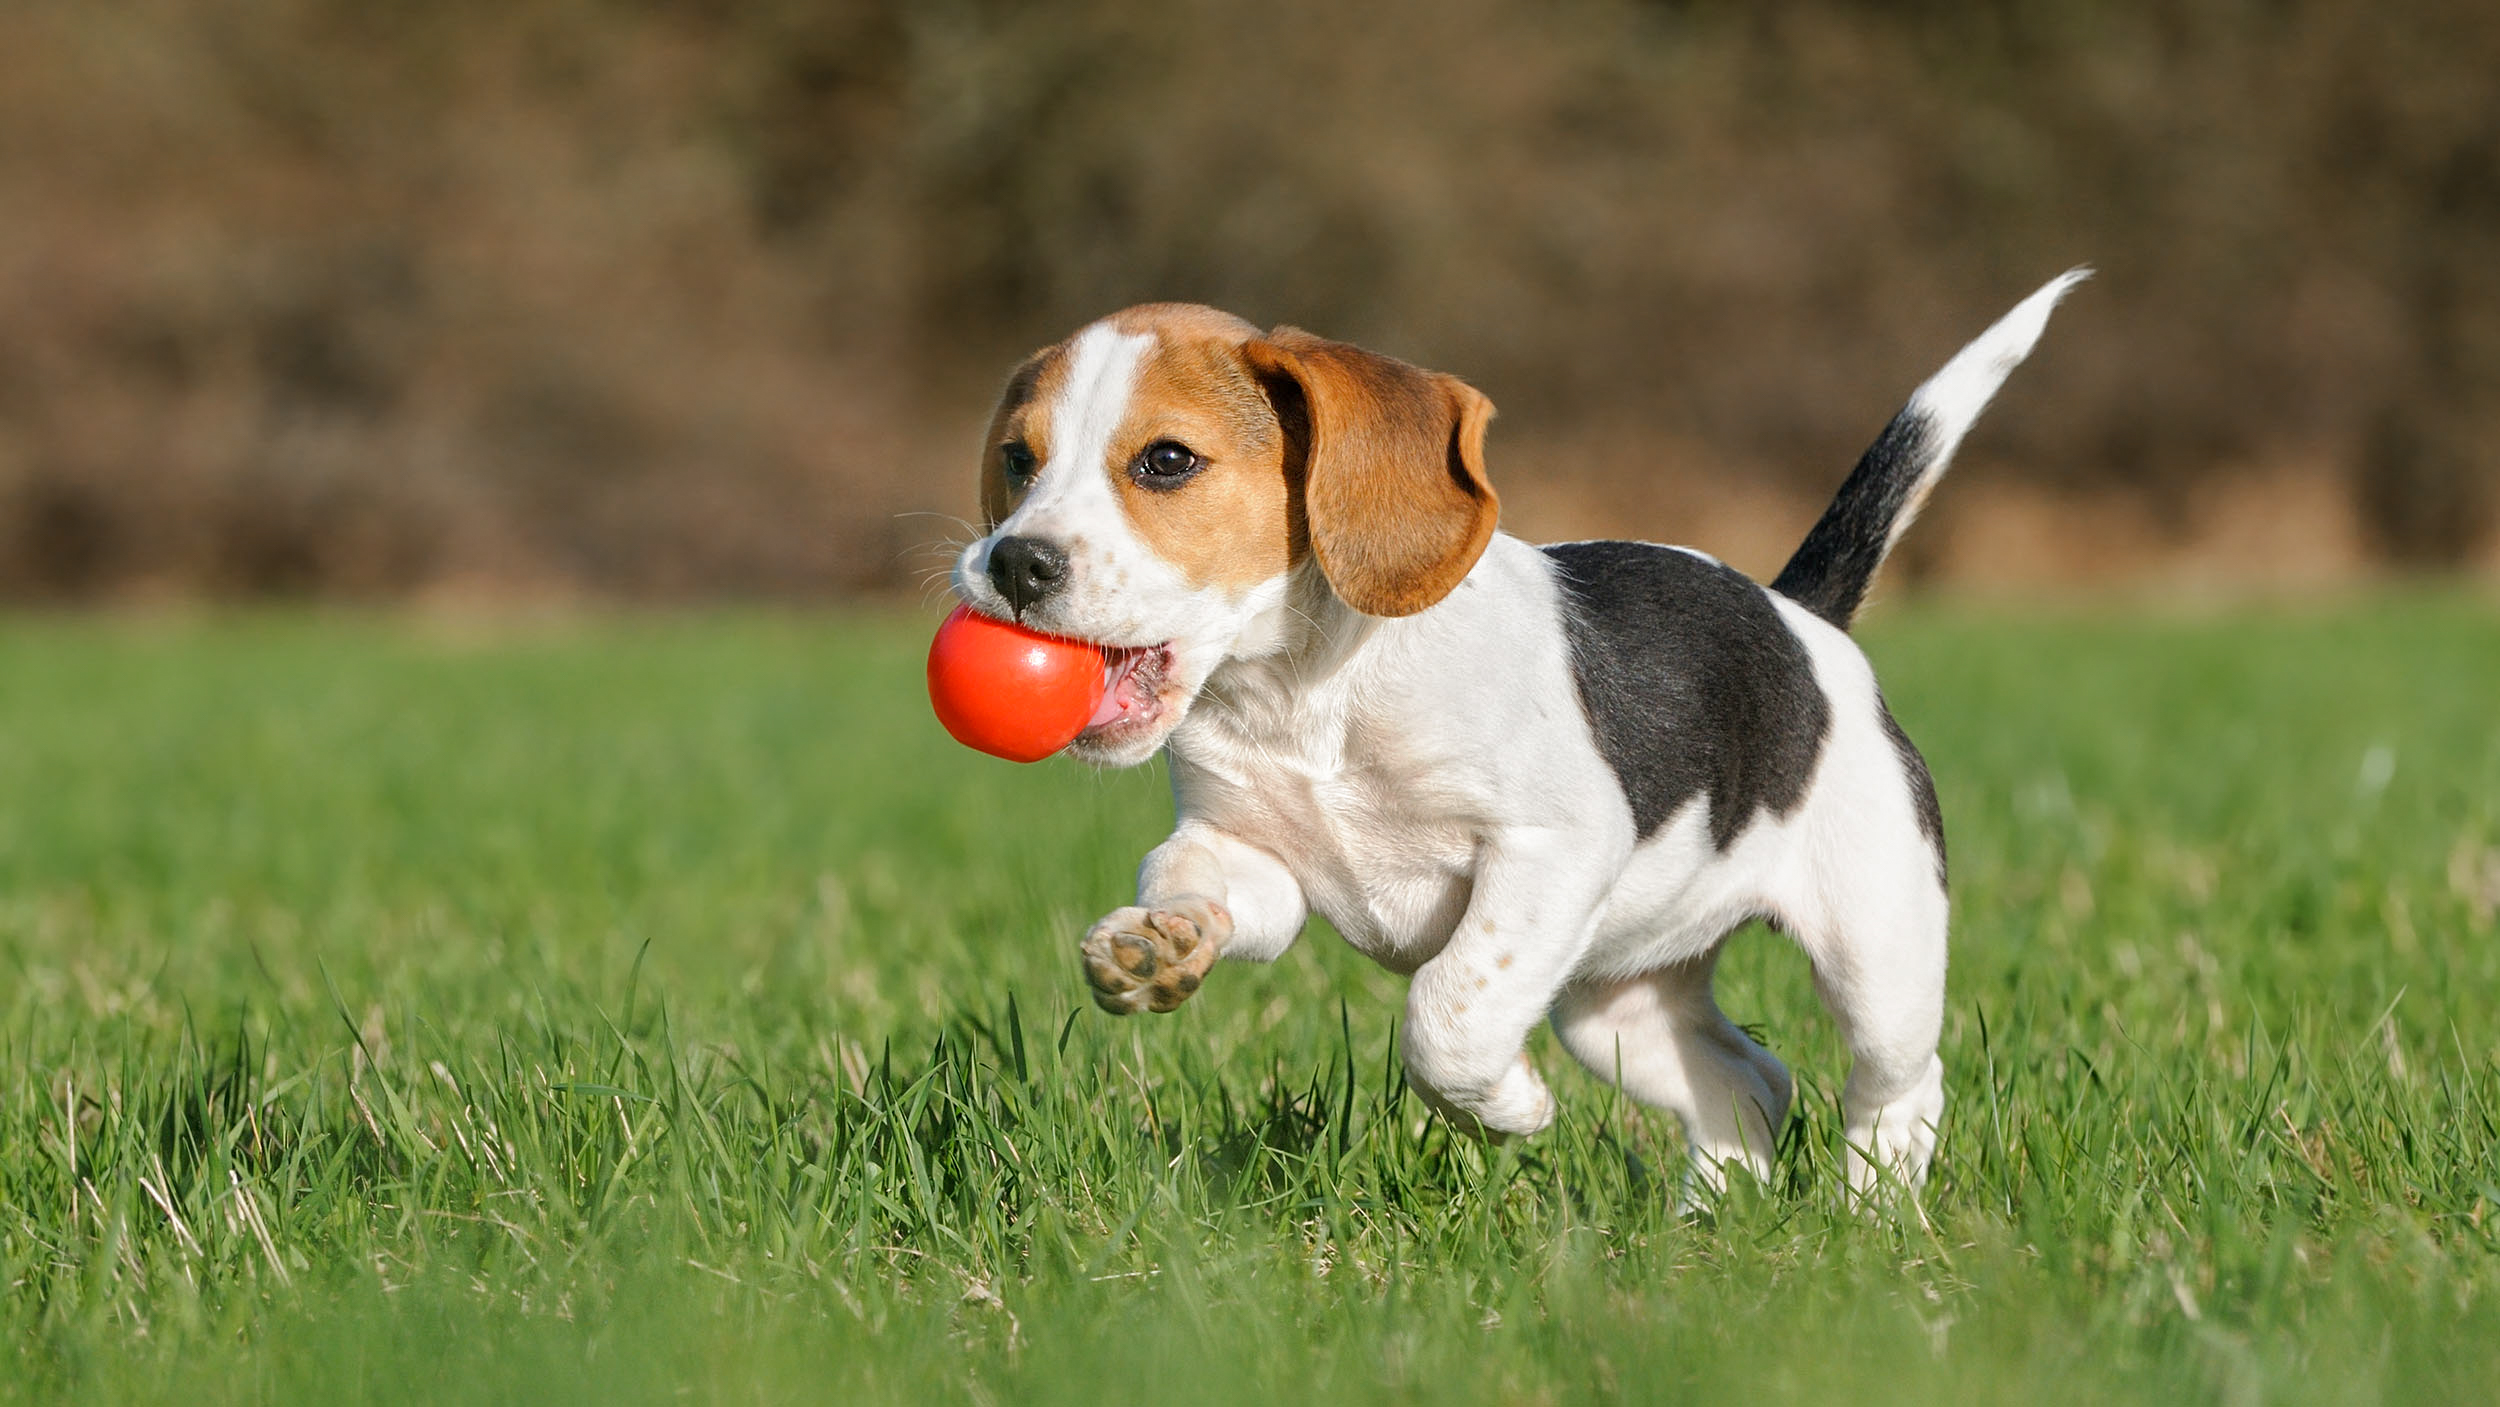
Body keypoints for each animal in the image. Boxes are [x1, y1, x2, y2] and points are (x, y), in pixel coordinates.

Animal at [945, 278, 2080, 1199]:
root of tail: (1800, 615)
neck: (1306, 695)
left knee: (1898, 1088)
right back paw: (1710, 1223)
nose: (1013, 563)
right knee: (1750, 1081)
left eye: (1167, 460)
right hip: (1617, 1005)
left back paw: (1870, 1217)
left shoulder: (1548, 851)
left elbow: (1447, 1016)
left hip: (1876, 952)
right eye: (1018, 459)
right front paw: (1157, 945)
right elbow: (1191, 877)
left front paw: (1510, 1108)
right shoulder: (1251, 856)